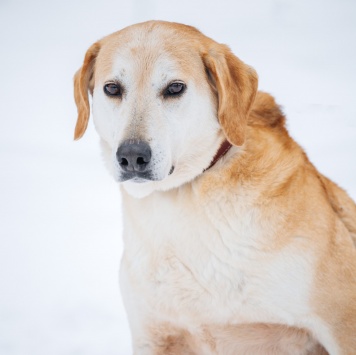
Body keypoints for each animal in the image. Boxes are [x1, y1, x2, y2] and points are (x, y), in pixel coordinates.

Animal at [73, 20, 356, 355]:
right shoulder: (154, 335)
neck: (182, 197)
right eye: (112, 88)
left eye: (175, 88)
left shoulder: (340, 323)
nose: (131, 156)